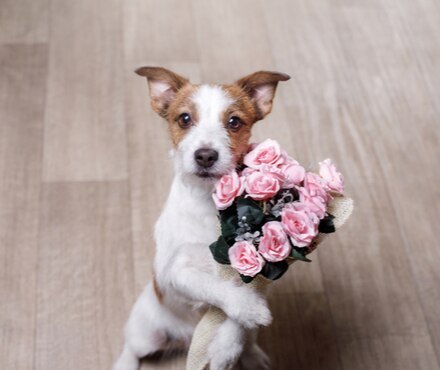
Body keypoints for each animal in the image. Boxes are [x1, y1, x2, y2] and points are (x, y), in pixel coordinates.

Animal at [113, 67, 290, 370]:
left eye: (234, 122)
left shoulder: (257, 270)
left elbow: (238, 319)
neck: (210, 201)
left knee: (249, 338)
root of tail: (185, 338)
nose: (206, 156)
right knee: (133, 348)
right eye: (185, 118)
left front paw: (225, 347)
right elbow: (212, 285)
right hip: (146, 331)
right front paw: (246, 307)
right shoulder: (175, 272)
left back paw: (251, 355)